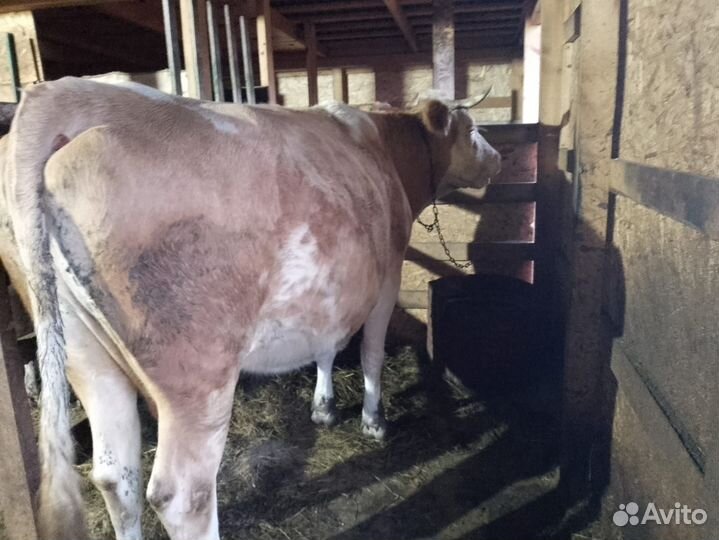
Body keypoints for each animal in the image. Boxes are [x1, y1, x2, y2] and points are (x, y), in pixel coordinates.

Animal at [1, 77, 501, 540]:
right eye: (473, 129)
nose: (498, 160)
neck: (384, 147)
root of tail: (67, 94)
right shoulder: (387, 277)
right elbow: (371, 353)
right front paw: (373, 421)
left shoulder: (331, 294)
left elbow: (326, 346)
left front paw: (323, 408)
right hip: (199, 374)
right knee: (183, 494)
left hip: (87, 357)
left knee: (115, 476)